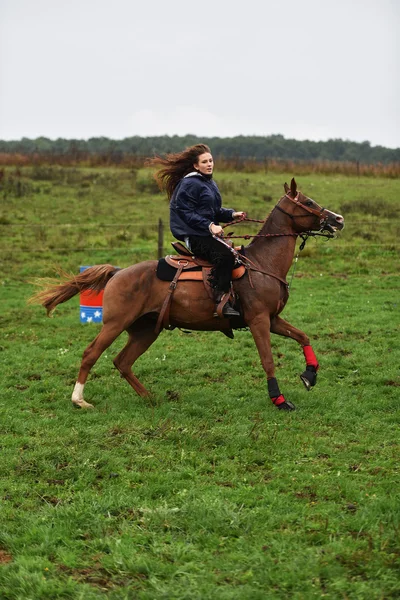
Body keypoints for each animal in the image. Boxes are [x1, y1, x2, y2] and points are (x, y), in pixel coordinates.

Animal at [30, 178, 344, 412]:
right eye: (307, 202)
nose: (338, 219)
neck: (262, 264)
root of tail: (118, 272)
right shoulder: (258, 321)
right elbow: (268, 360)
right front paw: (279, 400)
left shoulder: (273, 319)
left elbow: (303, 336)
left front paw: (309, 375)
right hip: (115, 324)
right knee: (91, 353)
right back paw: (79, 400)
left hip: (146, 329)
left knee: (123, 361)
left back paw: (150, 397)